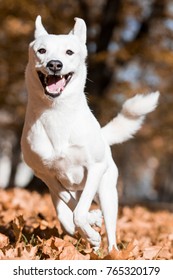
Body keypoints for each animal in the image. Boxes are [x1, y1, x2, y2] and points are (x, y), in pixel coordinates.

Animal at [21, 15, 159, 252]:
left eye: (69, 52)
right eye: (41, 50)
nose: (54, 64)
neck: (56, 112)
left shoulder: (95, 168)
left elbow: (79, 212)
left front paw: (91, 226)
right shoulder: (45, 175)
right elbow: (71, 206)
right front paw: (92, 227)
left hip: (107, 191)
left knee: (109, 230)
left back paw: (110, 251)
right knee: (66, 216)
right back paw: (92, 241)